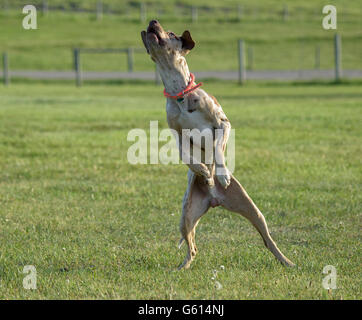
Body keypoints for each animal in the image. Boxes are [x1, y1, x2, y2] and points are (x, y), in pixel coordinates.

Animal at [141, 20, 294, 268]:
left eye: (171, 33)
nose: (152, 22)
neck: (180, 94)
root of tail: (214, 199)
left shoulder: (223, 123)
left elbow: (218, 149)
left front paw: (219, 174)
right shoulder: (177, 134)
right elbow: (185, 155)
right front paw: (203, 170)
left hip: (252, 209)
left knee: (268, 240)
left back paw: (286, 261)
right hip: (185, 216)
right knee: (192, 248)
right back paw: (182, 268)